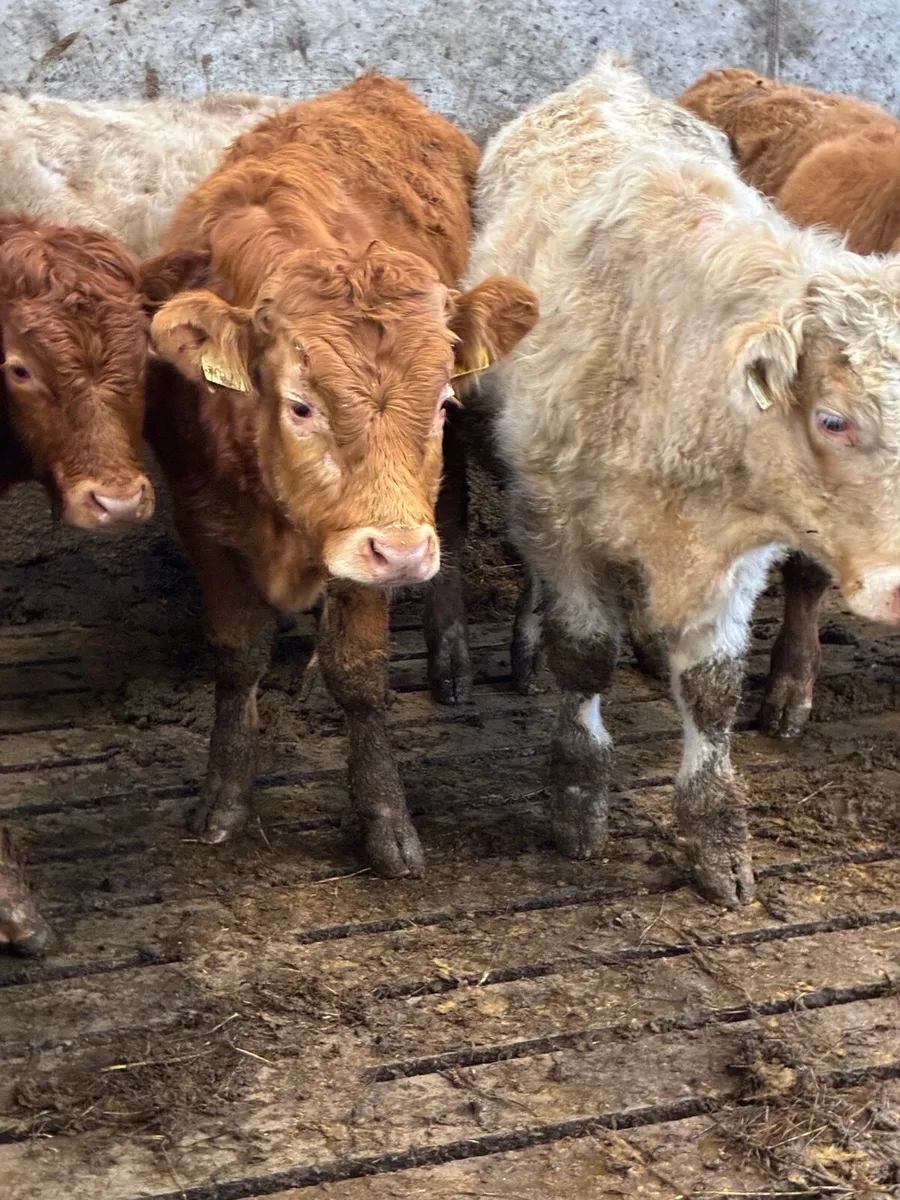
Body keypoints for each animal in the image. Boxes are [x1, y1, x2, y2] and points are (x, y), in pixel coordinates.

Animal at [146, 74, 538, 878]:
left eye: (442, 400)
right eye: (300, 405)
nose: (404, 553)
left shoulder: (365, 545)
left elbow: (358, 673)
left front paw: (386, 821)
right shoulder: (201, 520)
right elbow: (236, 655)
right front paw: (223, 800)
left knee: (452, 521)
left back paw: (450, 660)